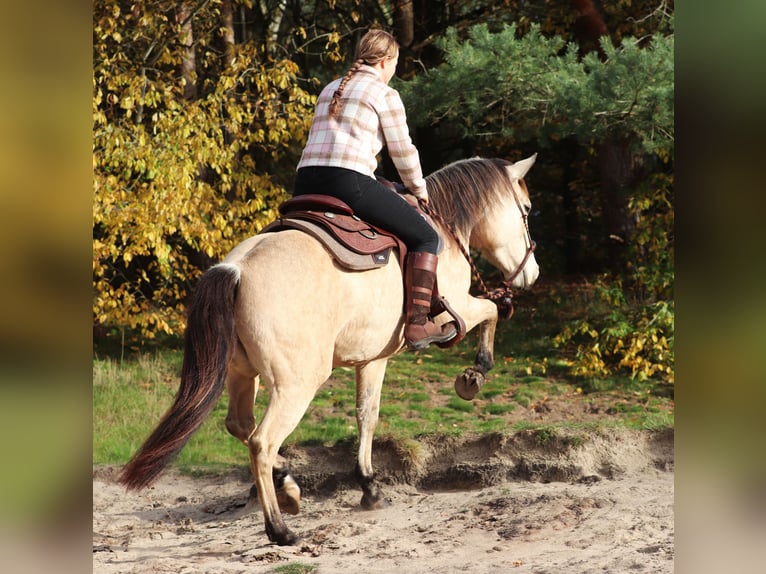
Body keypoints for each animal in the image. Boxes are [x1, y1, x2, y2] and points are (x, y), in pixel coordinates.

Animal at [119, 153, 540, 546]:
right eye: (526, 210)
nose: (532, 273)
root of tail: (236, 270)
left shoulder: (370, 358)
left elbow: (364, 415)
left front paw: (367, 486)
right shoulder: (451, 314)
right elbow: (490, 313)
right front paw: (474, 374)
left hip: (242, 375)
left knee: (240, 426)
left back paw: (289, 489)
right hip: (296, 385)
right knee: (261, 441)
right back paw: (280, 529)